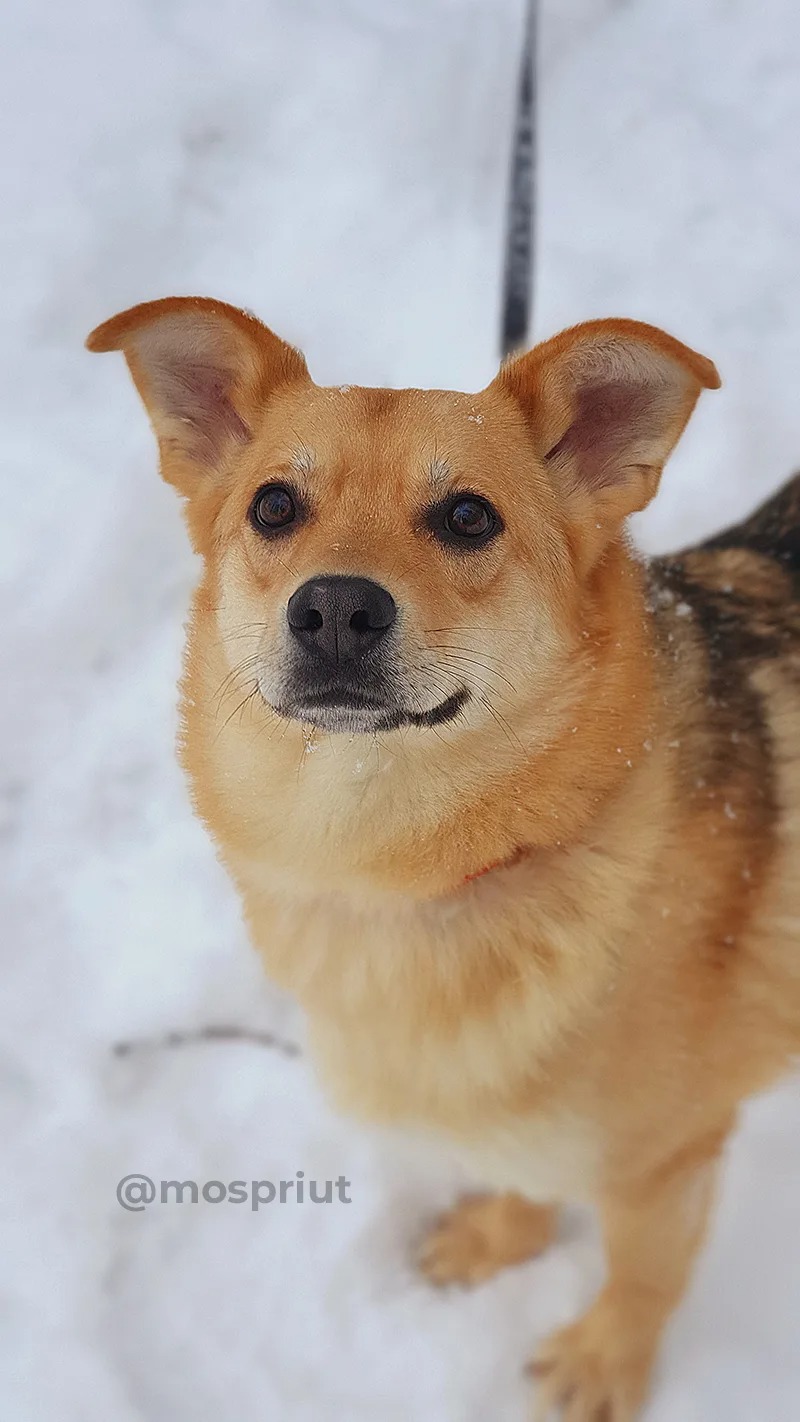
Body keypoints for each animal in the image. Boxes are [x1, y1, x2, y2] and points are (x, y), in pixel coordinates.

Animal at [87, 294, 800, 1416]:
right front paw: (502, 1238)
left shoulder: (667, 1160)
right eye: (274, 507)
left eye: (468, 517)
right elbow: (518, 1169)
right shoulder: (504, 1094)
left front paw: (604, 1364)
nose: (335, 607)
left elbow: (641, 1273)